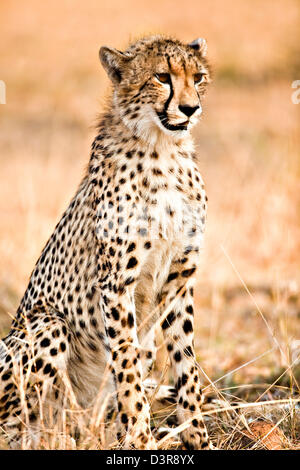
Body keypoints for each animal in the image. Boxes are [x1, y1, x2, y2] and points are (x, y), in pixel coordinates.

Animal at [0, 35, 212, 450]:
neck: (163, 149)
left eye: (197, 77)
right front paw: (141, 438)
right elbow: (126, 365)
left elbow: (186, 366)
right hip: (48, 323)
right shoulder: (116, 282)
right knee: (19, 424)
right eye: (162, 77)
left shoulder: (180, 279)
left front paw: (197, 436)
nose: (190, 108)